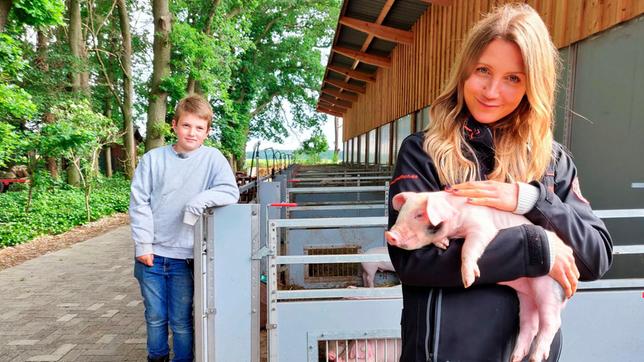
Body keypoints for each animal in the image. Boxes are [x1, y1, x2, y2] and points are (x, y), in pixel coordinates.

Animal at [384, 191, 568, 360]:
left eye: (419, 214)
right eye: (401, 213)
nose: (389, 234)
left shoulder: (483, 226)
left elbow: (469, 247)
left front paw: (469, 280)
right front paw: (443, 244)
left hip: (548, 288)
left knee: (552, 322)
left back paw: (535, 357)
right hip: (525, 297)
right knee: (529, 324)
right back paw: (515, 357)